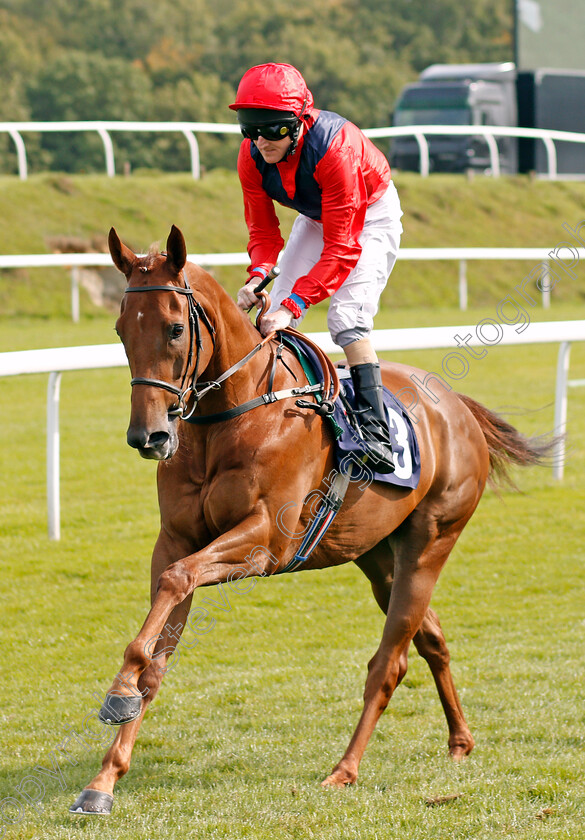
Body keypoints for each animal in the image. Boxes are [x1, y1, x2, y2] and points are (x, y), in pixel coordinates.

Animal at [69, 225, 548, 812]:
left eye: (176, 329)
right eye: (120, 330)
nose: (149, 435)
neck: (233, 414)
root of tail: (455, 405)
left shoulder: (262, 544)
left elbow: (177, 581)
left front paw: (117, 692)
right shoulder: (178, 538)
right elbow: (157, 654)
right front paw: (104, 777)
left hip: (430, 543)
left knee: (388, 662)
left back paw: (345, 768)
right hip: (377, 556)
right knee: (429, 639)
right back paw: (460, 741)